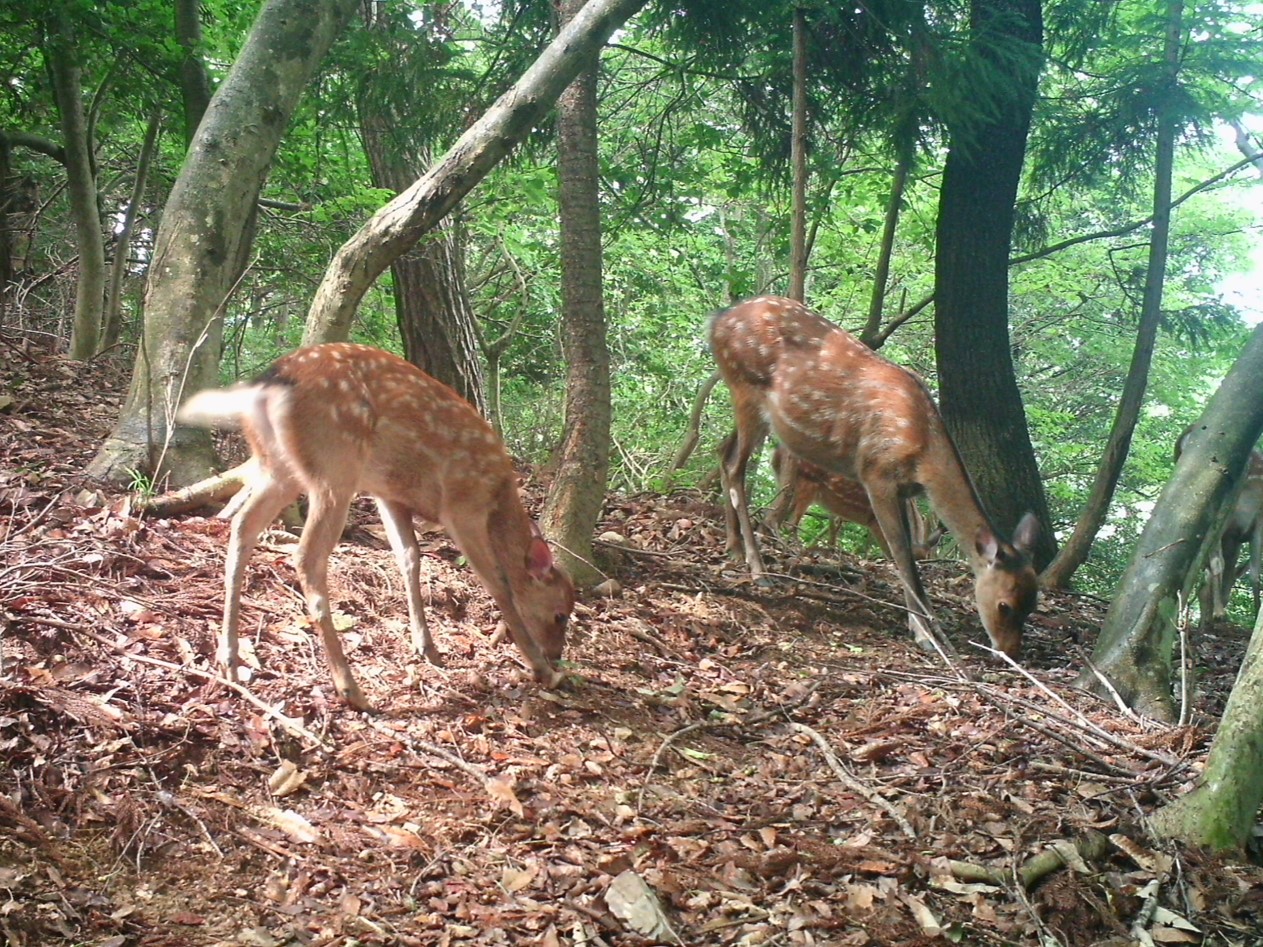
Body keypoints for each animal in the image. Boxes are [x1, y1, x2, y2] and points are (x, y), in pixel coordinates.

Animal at [178, 345, 573, 707]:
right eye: (560, 614)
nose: (555, 657)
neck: (498, 495)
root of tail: (272, 380)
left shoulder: (389, 493)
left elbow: (410, 557)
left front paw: (426, 646)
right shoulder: (463, 505)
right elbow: (498, 583)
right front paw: (539, 669)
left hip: (279, 466)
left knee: (243, 525)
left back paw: (230, 659)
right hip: (335, 464)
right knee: (307, 555)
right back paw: (350, 688)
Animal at [762, 449, 944, 560]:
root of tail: (777, 453)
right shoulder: (876, 522)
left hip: (788, 482)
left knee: (774, 515)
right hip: (808, 484)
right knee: (790, 523)